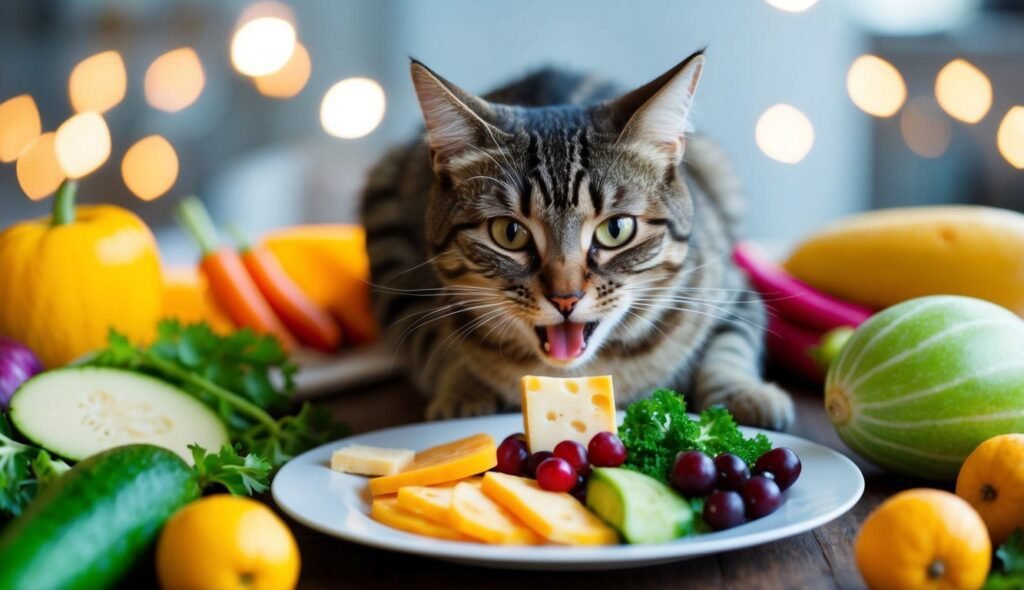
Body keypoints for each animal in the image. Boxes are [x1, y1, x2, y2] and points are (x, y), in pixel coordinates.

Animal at [364, 50, 794, 428]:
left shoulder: (735, 291)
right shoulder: (413, 300)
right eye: (509, 233)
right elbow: (438, 347)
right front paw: (463, 393)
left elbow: (729, 348)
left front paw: (746, 394)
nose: (565, 298)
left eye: (616, 229)